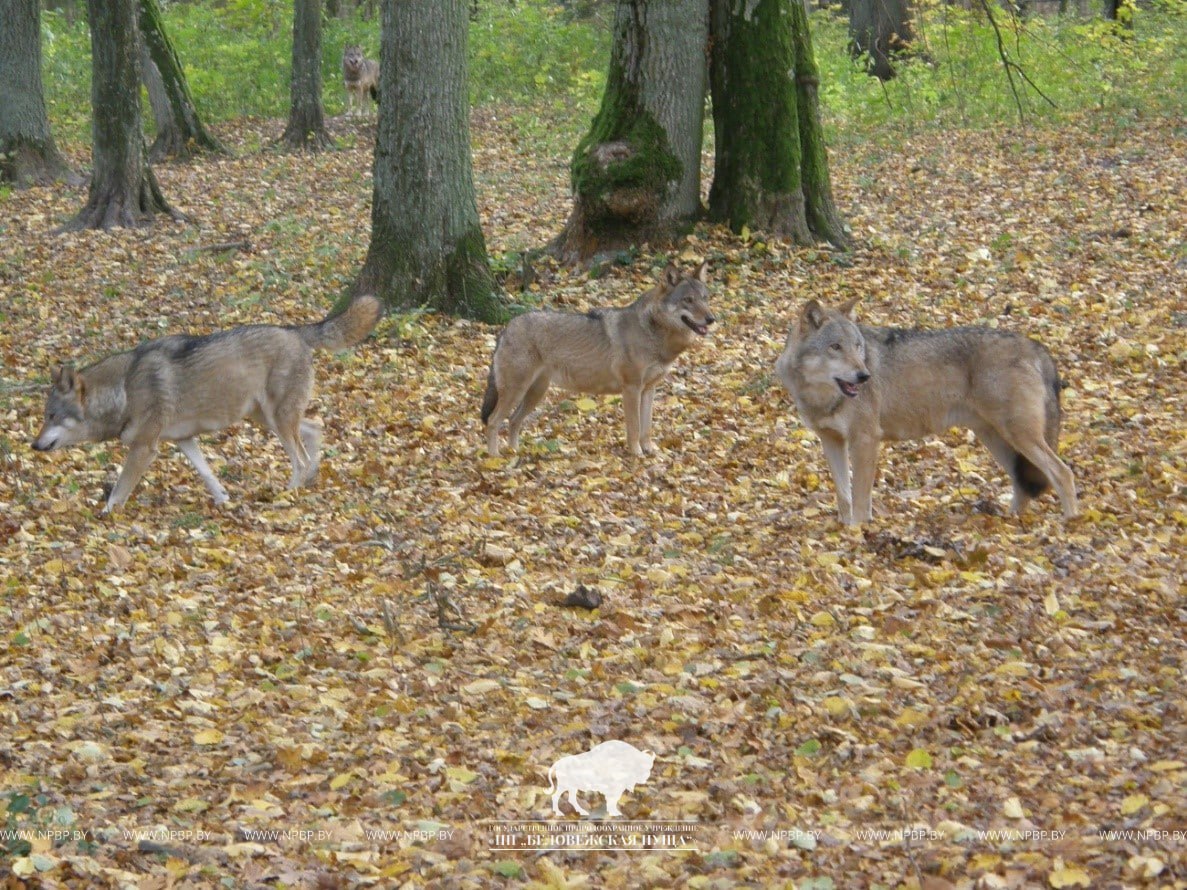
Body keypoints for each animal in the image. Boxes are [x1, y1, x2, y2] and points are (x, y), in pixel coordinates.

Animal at [32, 296, 382, 512]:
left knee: (300, 456)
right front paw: (224, 499)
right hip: (266, 418)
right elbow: (207, 475)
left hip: (276, 420)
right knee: (313, 430)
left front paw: (106, 515)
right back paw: (310, 480)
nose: (33, 445)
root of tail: (294, 330)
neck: (124, 390)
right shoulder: (184, 440)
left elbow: (119, 490)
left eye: (52, 415)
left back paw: (290, 492)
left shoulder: (144, 448)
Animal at [481, 261, 712, 455]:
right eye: (688, 300)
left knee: (513, 421)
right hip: (517, 391)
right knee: (493, 421)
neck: (653, 333)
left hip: (535, 393)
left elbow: (647, 427)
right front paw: (637, 455)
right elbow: (635, 428)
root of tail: (506, 328)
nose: (712, 319)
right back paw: (495, 459)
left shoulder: (649, 390)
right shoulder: (631, 389)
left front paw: (651, 451)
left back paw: (514, 452)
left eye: (704, 298)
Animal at [773, 300, 1082, 522]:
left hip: (1018, 436)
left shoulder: (866, 440)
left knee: (1063, 473)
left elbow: (860, 498)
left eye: (857, 346)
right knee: (1023, 483)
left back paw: (1070, 525)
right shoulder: (832, 441)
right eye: (835, 347)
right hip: (997, 439)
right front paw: (844, 529)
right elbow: (843, 495)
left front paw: (858, 533)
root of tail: (1036, 346)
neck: (820, 395)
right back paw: (1012, 521)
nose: (864, 376)